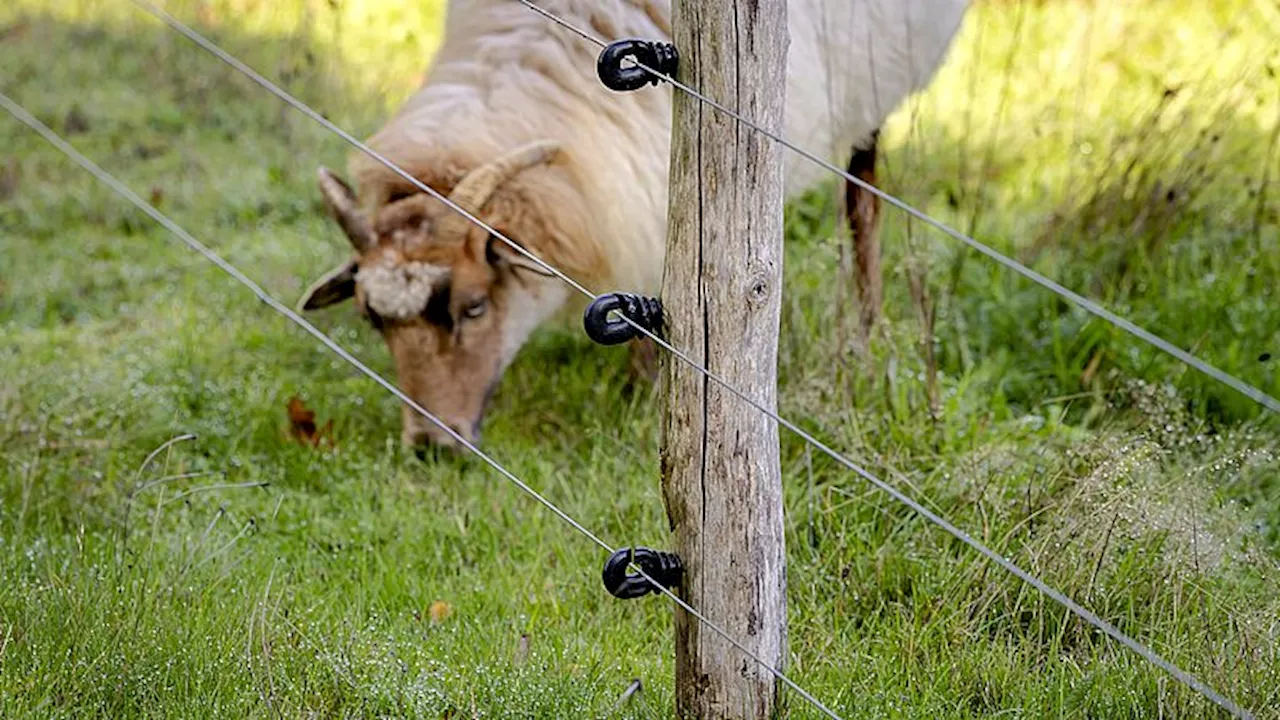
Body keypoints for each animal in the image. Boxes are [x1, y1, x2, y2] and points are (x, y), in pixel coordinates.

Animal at [294, 0, 962, 445]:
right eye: (372, 321)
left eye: (475, 307)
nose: (431, 445)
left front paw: (644, 393)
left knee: (862, 194)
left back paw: (868, 325)